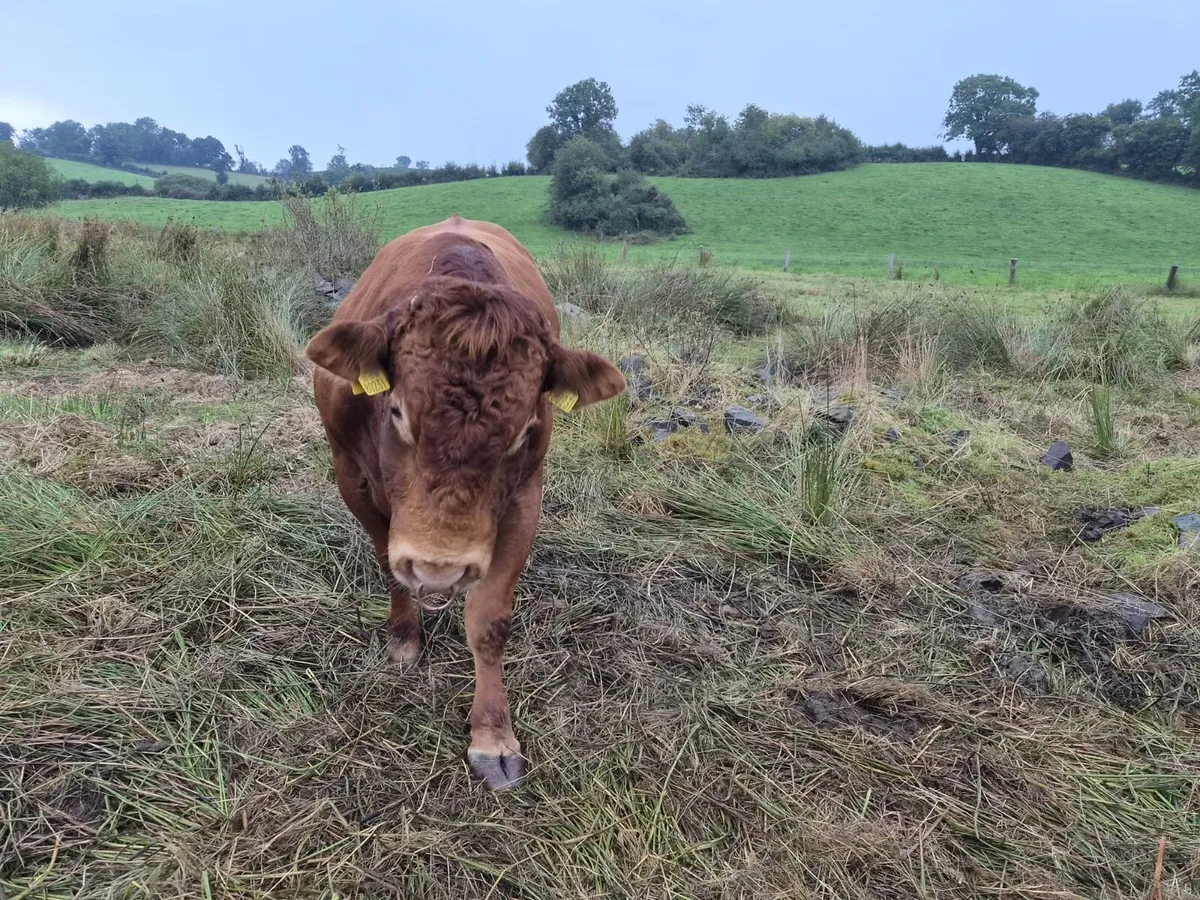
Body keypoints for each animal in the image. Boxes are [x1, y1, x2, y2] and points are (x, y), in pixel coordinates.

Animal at [304, 216, 625, 789]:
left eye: (524, 429)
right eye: (396, 411)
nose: (440, 569)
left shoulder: (524, 498)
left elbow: (489, 621)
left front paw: (492, 735)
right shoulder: (352, 479)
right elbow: (389, 565)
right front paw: (404, 637)